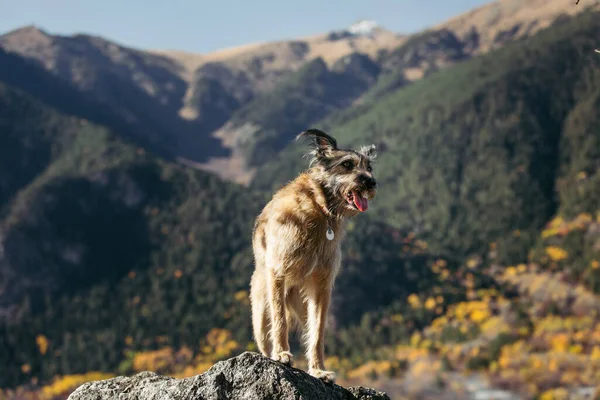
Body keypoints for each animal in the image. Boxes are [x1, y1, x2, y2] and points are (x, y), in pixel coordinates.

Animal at [251, 128, 378, 382]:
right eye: (347, 164)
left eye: (369, 167)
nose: (371, 182)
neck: (319, 208)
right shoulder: (277, 274)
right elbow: (279, 320)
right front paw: (281, 354)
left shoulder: (321, 286)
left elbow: (317, 333)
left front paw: (318, 370)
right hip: (260, 312)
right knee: (265, 336)